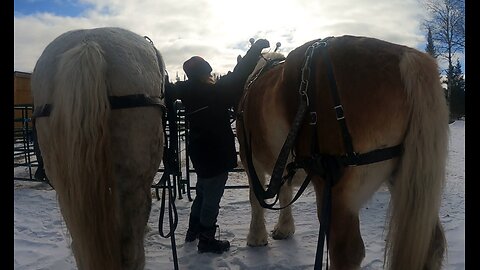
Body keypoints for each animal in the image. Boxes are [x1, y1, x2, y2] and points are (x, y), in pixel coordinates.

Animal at [236, 34, 450, 268]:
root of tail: (405, 55)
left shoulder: (249, 161)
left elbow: (256, 198)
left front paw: (256, 237)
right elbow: (284, 192)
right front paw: (284, 229)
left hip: (336, 190)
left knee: (347, 252)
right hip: (404, 177)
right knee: (434, 243)